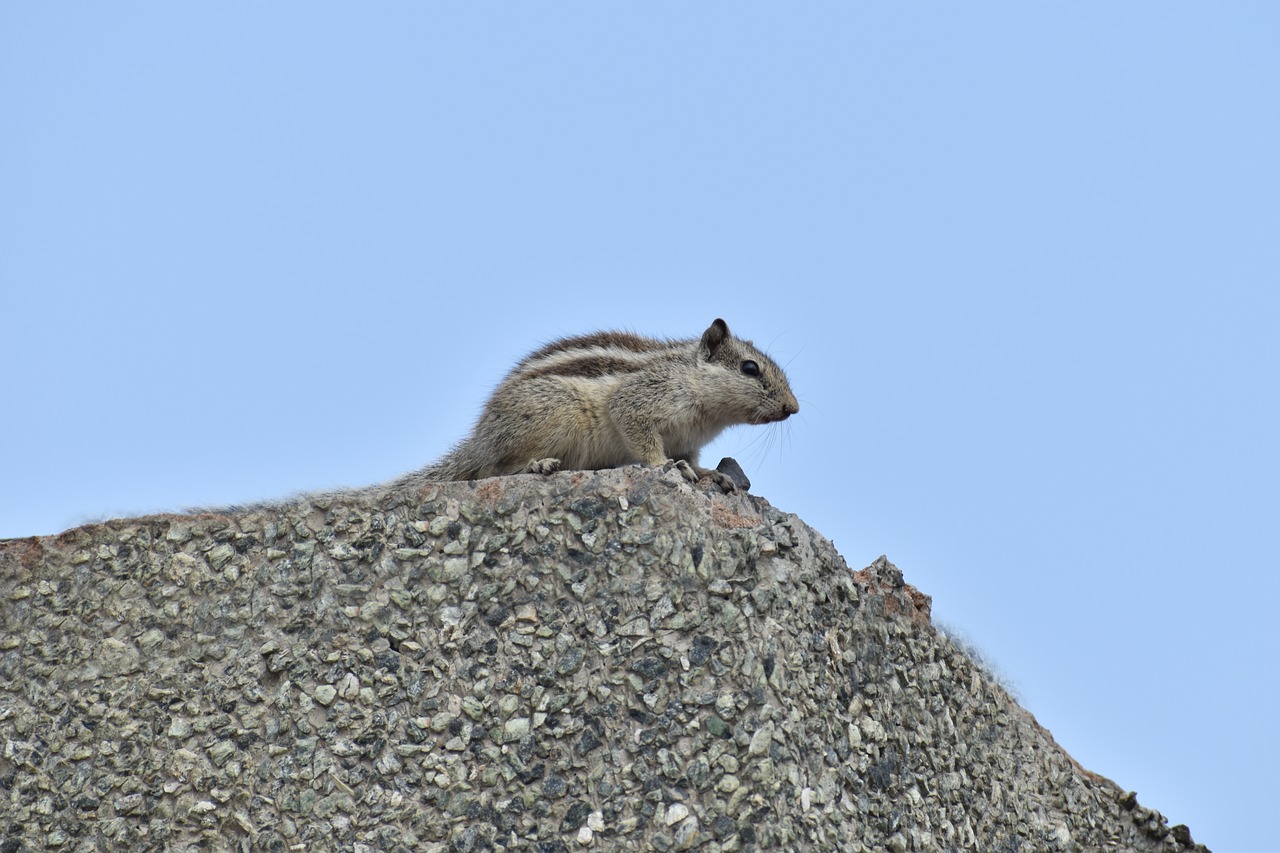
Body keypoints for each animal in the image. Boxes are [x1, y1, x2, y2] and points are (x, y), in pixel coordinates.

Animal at [384, 317, 793, 491]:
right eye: (750, 368)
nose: (794, 408)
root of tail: (479, 439)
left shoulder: (688, 441)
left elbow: (694, 461)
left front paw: (710, 474)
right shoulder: (640, 401)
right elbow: (643, 439)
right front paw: (665, 466)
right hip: (554, 417)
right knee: (493, 470)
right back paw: (537, 465)